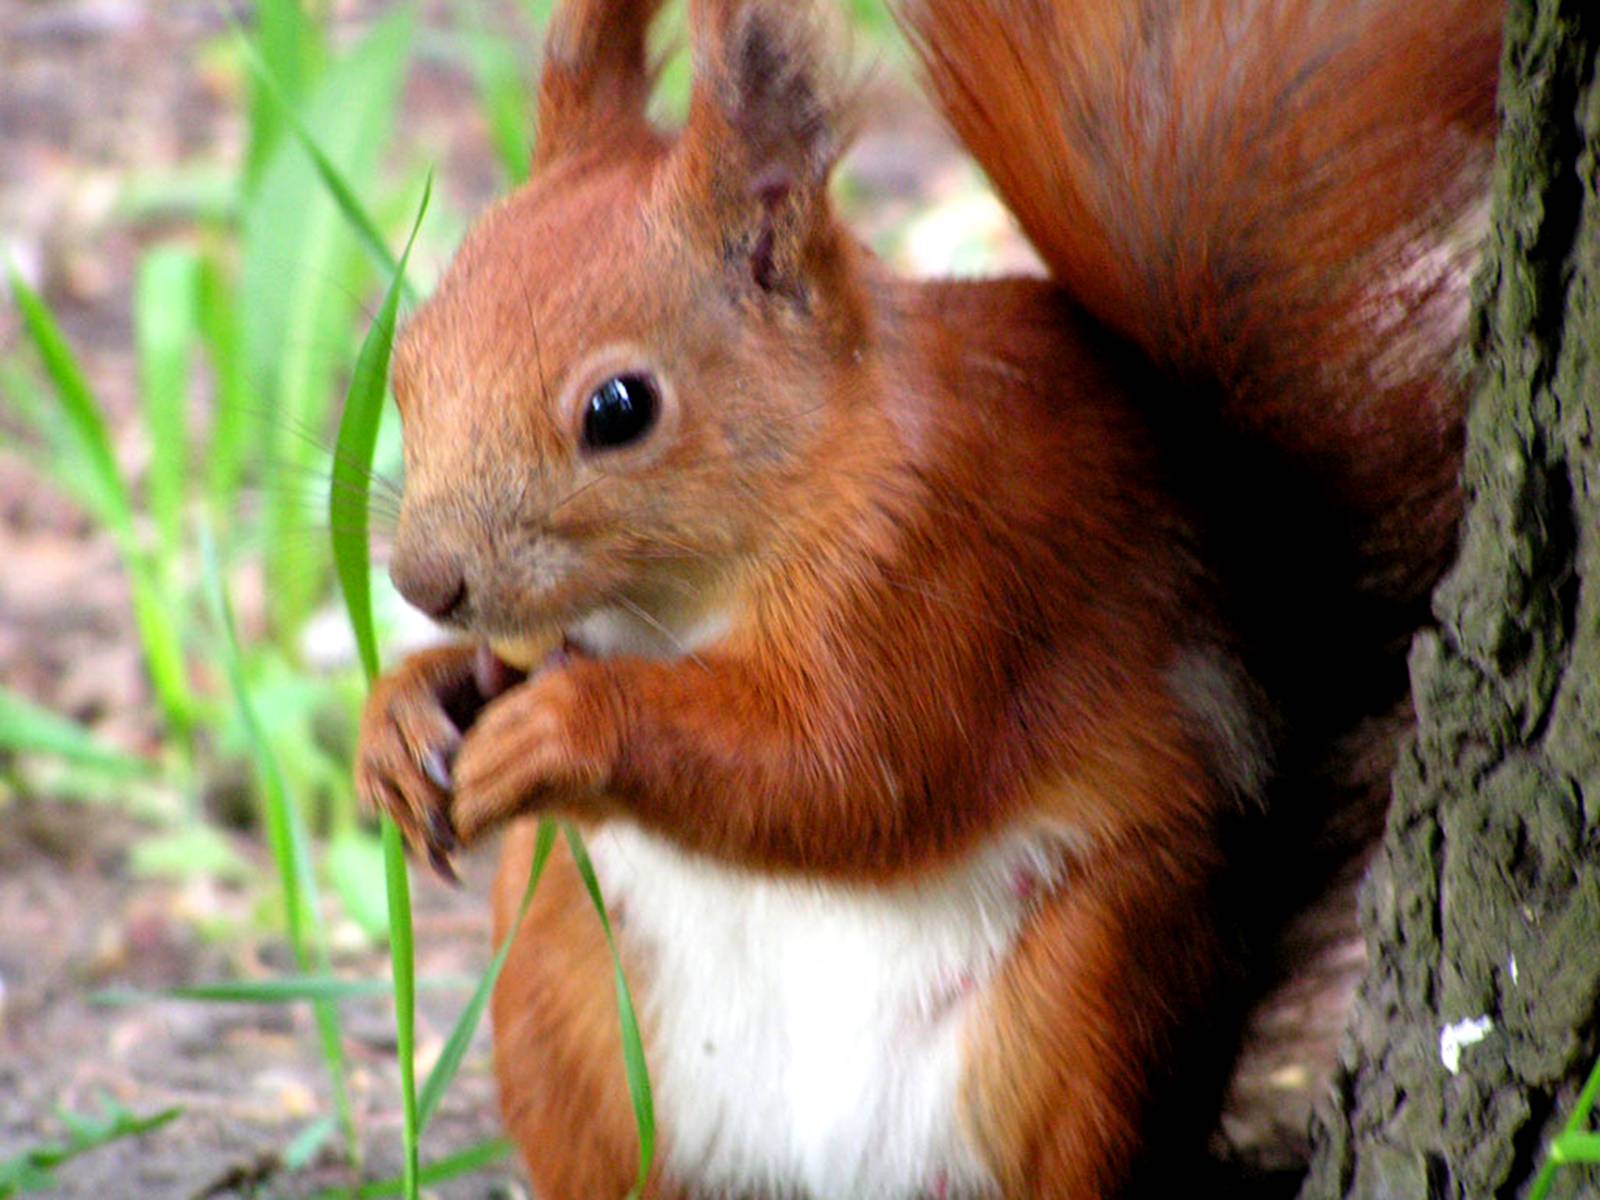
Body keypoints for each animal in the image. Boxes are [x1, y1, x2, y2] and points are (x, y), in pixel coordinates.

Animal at [356, 4, 1504, 1196]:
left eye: (619, 408)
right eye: (411, 358)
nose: (425, 581)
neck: (681, 598)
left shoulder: (943, 563)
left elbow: (846, 770)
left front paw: (565, 726)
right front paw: (403, 713)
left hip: (1098, 986)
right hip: (562, 978)